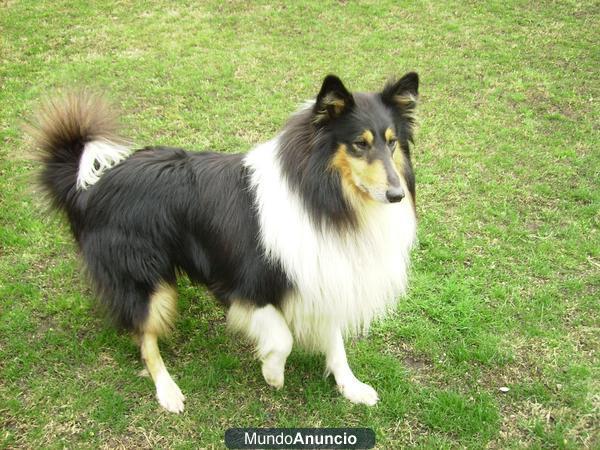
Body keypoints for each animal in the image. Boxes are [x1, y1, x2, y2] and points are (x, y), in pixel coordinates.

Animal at [28, 73, 420, 412]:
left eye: (392, 142)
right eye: (359, 144)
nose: (396, 195)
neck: (322, 197)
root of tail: (88, 188)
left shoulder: (323, 275)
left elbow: (335, 342)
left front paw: (350, 386)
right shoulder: (244, 283)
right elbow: (282, 339)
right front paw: (273, 374)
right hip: (143, 279)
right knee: (145, 339)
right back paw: (168, 390)